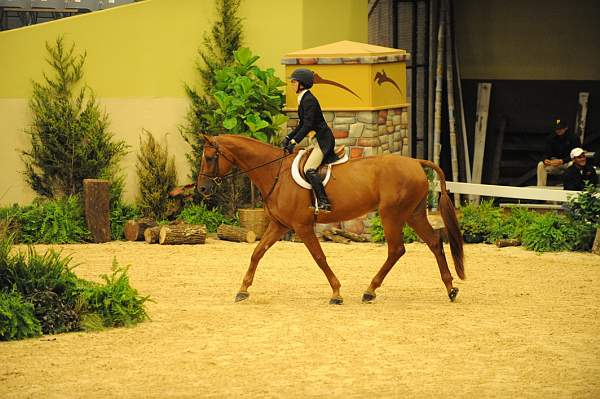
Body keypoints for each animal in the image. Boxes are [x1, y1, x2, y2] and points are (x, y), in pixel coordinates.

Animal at [197, 136, 464, 304]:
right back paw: (450, 288)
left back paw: (370, 291)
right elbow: (256, 253)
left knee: (396, 249)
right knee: (434, 243)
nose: (201, 189)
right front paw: (243, 290)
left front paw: (336, 293)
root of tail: (416, 162)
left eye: (209, 158)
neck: (276, 173)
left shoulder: (302, 227)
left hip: (392, 215)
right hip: (413, 214)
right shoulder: (279, 225)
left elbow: (319, 257)